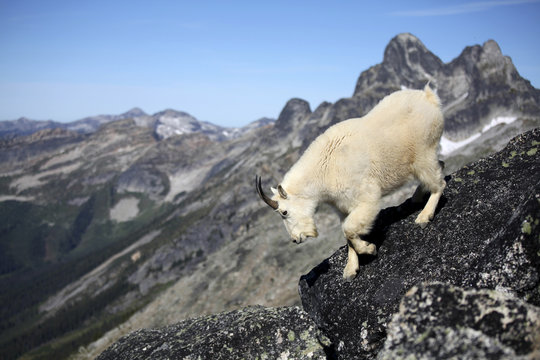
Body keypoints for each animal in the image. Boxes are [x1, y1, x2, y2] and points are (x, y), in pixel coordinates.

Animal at [255, 85, 446, 282]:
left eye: (284, 212)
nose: (295, 239)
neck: (324, 171)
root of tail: (430, 97)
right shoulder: (341, 207)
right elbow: (346, 233)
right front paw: (350, 269)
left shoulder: (365, 197)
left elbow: (349, 228)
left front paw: (369, 248)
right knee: (440, 166)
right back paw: (415, 199)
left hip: (423, 151)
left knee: (439, 182)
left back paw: (424, 216)